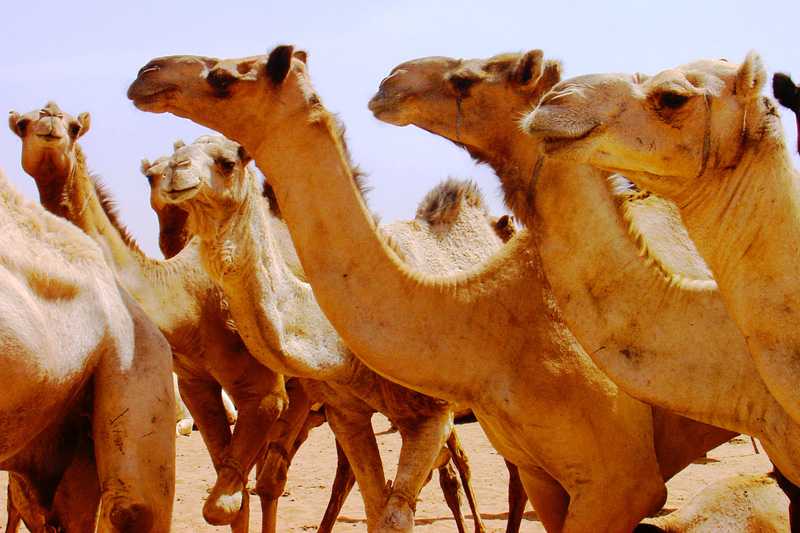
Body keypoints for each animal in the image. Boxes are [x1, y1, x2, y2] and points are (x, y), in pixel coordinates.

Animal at [146, 133, 510, 533]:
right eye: (157, 170)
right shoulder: (345, 412)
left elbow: (396, 514)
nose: (175, 170)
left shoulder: (433, 414)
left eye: (227, 162)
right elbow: (375, 504)